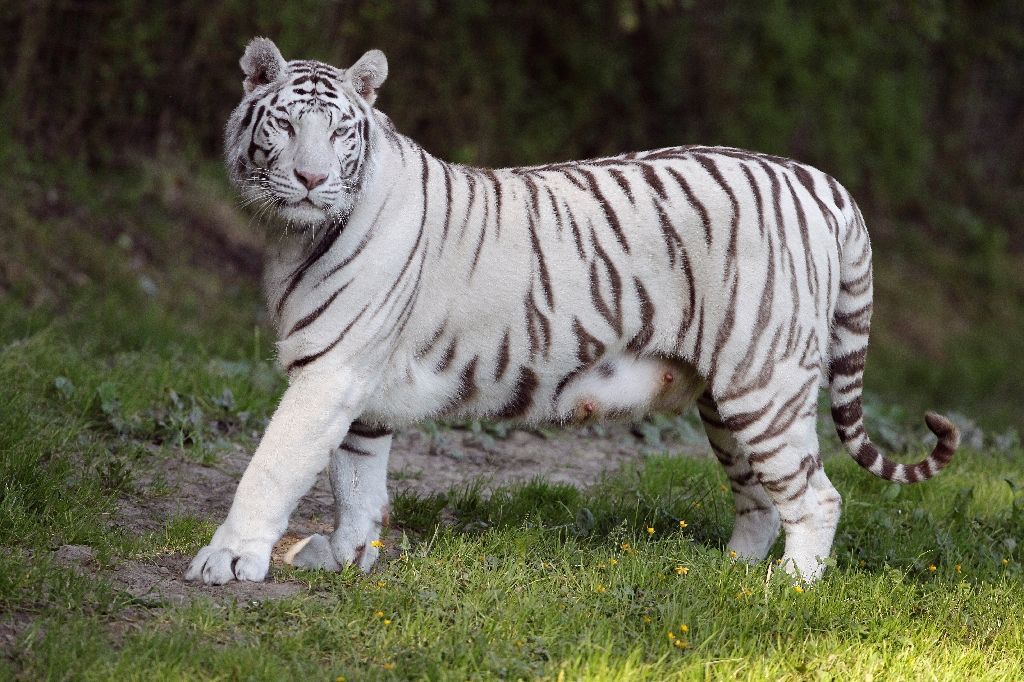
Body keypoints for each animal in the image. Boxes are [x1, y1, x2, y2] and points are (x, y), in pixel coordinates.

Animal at [186, 37, 960, 586]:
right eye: (286, 126)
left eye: (341, 133)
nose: (311, 178)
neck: (291, 236)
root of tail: (822, 181)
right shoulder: (358, 386)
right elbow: (355, 479)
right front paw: (347, 556)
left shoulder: (329, 374)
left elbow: (274, 467)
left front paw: (228, 561)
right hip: (729, 399)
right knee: (762, 496)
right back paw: (728, 576)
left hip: (764, 382)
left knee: (816, 495)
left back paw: (788, 589)